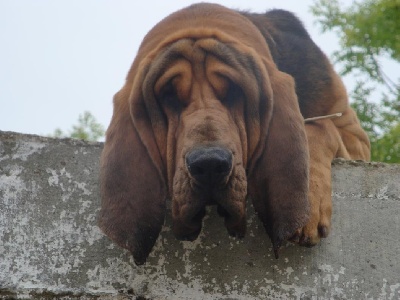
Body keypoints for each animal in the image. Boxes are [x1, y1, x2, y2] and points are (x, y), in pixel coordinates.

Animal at [98, 3, 370, 264]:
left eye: (234, 91)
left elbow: (318, 126)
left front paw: (309, 206)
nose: (209, 165)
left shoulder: (355, 138)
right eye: (168, 96)